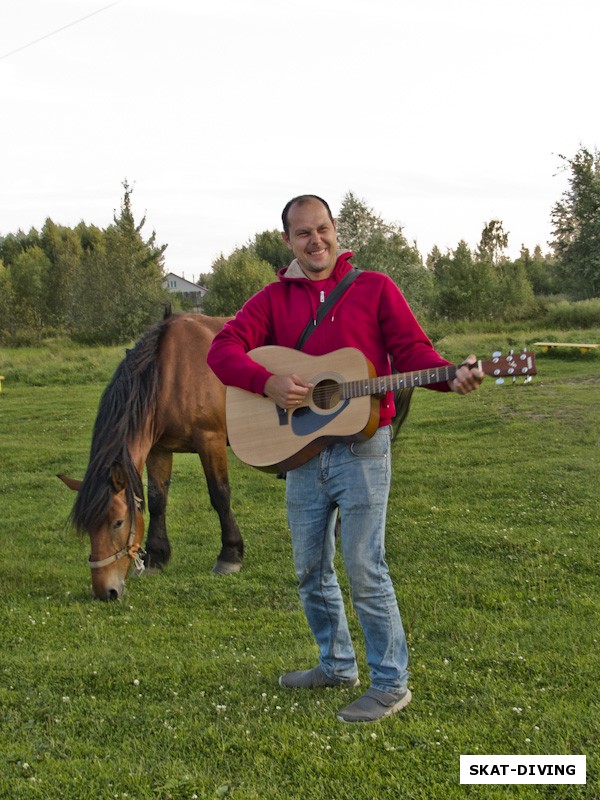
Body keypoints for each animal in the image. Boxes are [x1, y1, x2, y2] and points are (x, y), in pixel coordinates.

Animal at [58, 312, 241, 600]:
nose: (105, 591)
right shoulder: (159, 449)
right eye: (87, 527)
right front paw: (156, 557)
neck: (170, 375)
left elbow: (220, 495)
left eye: (118, 523)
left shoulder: (211, 441)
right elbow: (157, 500)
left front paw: (230, 555)